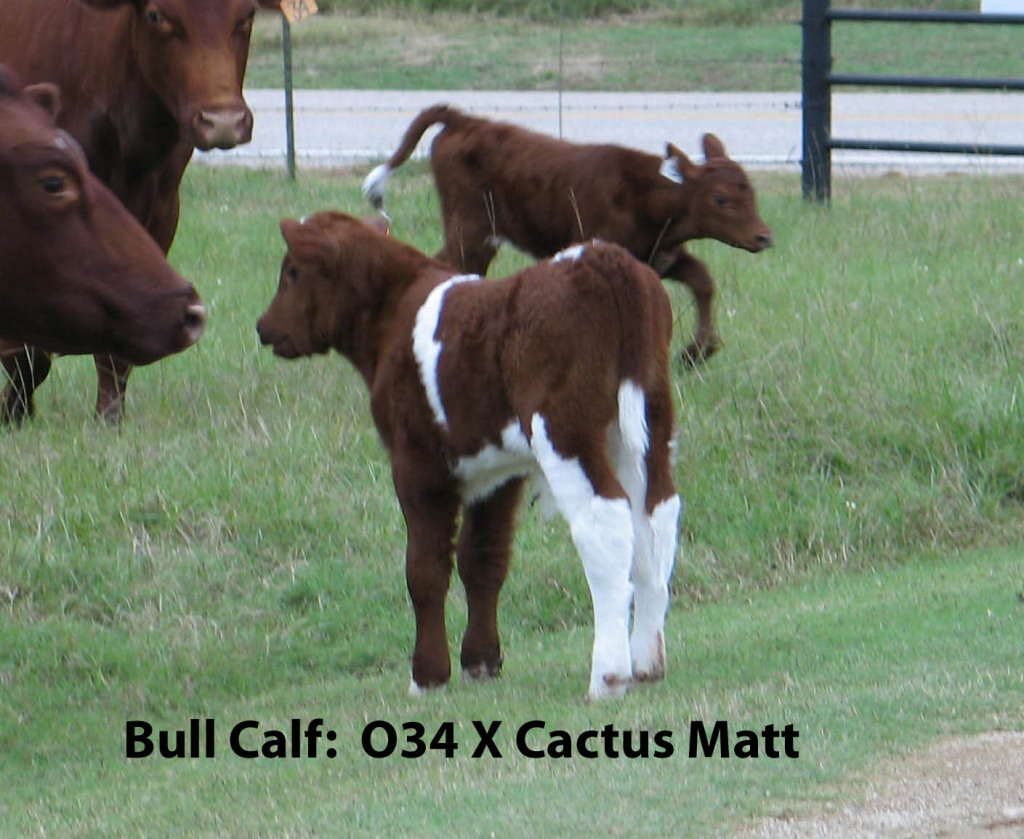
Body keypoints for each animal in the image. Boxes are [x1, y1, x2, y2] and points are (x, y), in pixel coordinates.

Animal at [260, 213, 684, 700]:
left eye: (292, 272)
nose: (262, 327)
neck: (393, 317)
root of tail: (603, 259)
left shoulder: (416, 464)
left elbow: (425, 568)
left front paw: (427, 675)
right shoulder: (498, 468)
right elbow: (482, 558)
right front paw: (480, 662)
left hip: (565, 431)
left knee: (606, 519)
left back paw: (609, 676)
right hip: (648, 421)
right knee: (655, 514)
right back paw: (649, 661)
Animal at [364, 103, 770, 366]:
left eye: (750, 189)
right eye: (721, 198)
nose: (764, 237)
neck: (647, 198)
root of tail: (466, 121)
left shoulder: (663, 257)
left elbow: (703, 281)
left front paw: (697, 352)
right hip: (471, 231)